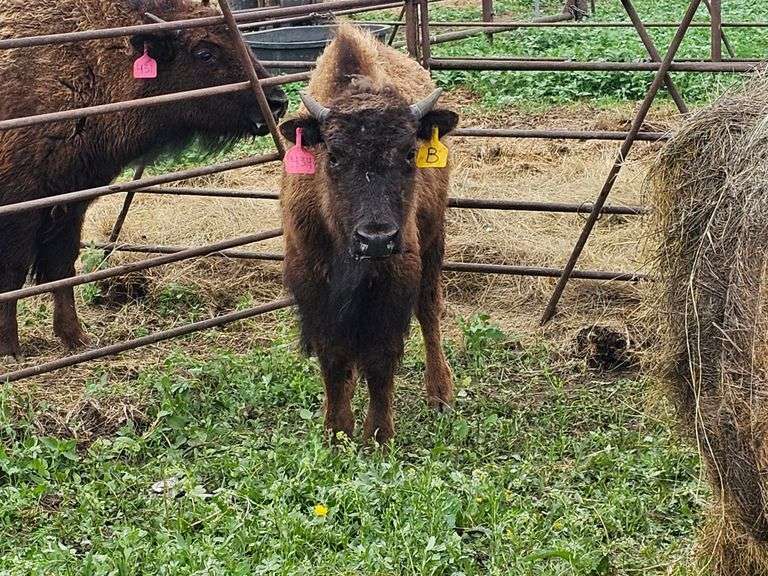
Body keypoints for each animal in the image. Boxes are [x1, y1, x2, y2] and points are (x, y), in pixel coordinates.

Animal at [0, 0, 287, 358]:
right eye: (204, 52)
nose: (278, 102)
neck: (89, 65)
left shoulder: (69, 202)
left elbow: (62, 268)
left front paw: (76, 339)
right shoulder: (20, 206)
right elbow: (12, 274)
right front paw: (9, 347)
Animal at [279, 22, 458, 444]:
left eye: (409, 153)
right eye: (334, 155)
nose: (375, 238)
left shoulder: (396, 275)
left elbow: (381, 357)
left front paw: (378, 435)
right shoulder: (311, 280)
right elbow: (333, 357)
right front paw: (335, 432)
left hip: (433, 243)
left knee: (430, 312)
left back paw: (440, 394)